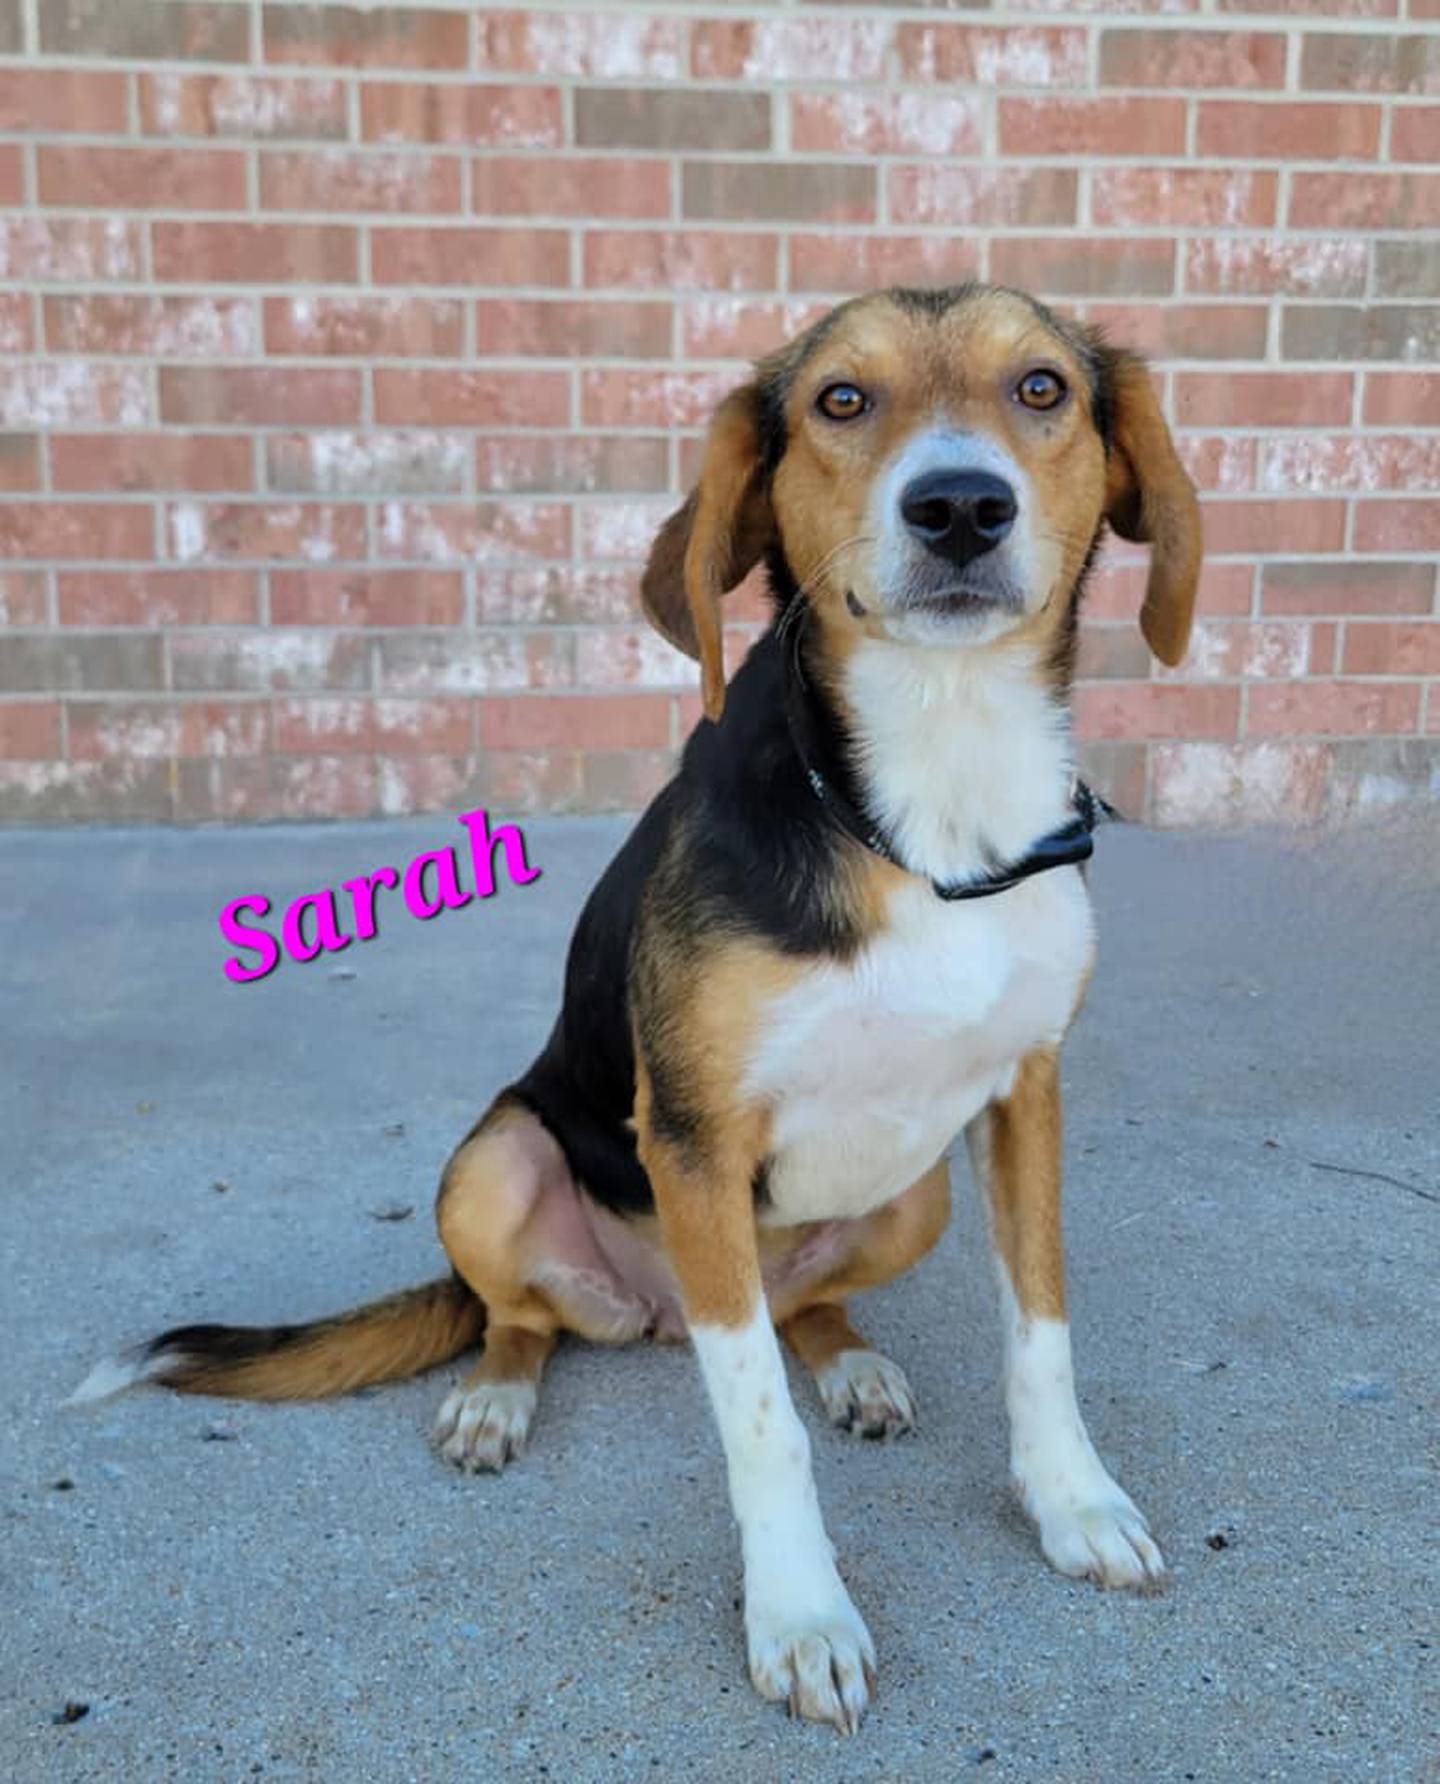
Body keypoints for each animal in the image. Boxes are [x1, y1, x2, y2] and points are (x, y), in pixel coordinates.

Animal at [78, 289, 1206, 1726]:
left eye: (1044, 387)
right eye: (842, 400)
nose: (960, 506)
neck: (931, 805)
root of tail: (657, 1313)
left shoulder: (1027, 1097)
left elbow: (1041, 1332)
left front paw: (1073, 1504)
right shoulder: (695, 1137)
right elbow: (760, 1427)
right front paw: (802, 1617)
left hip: (915, 1196)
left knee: (799, 1310)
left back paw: (852, 1362)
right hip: (500, 1158)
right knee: (528, 1318)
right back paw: (493, 1404)